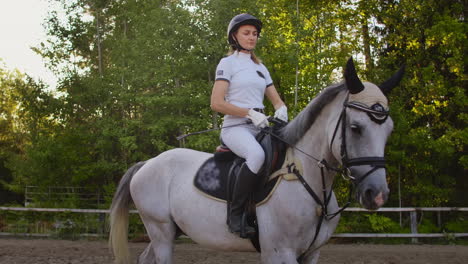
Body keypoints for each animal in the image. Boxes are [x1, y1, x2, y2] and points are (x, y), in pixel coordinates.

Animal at [108, 58, 404, 264]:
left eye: (390, 130)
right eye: (355, 128)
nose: (377, 194)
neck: (305, 178)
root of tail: (147, 164)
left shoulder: (311, 254)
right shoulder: (279, 252)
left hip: (171, 231)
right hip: (160, 230)